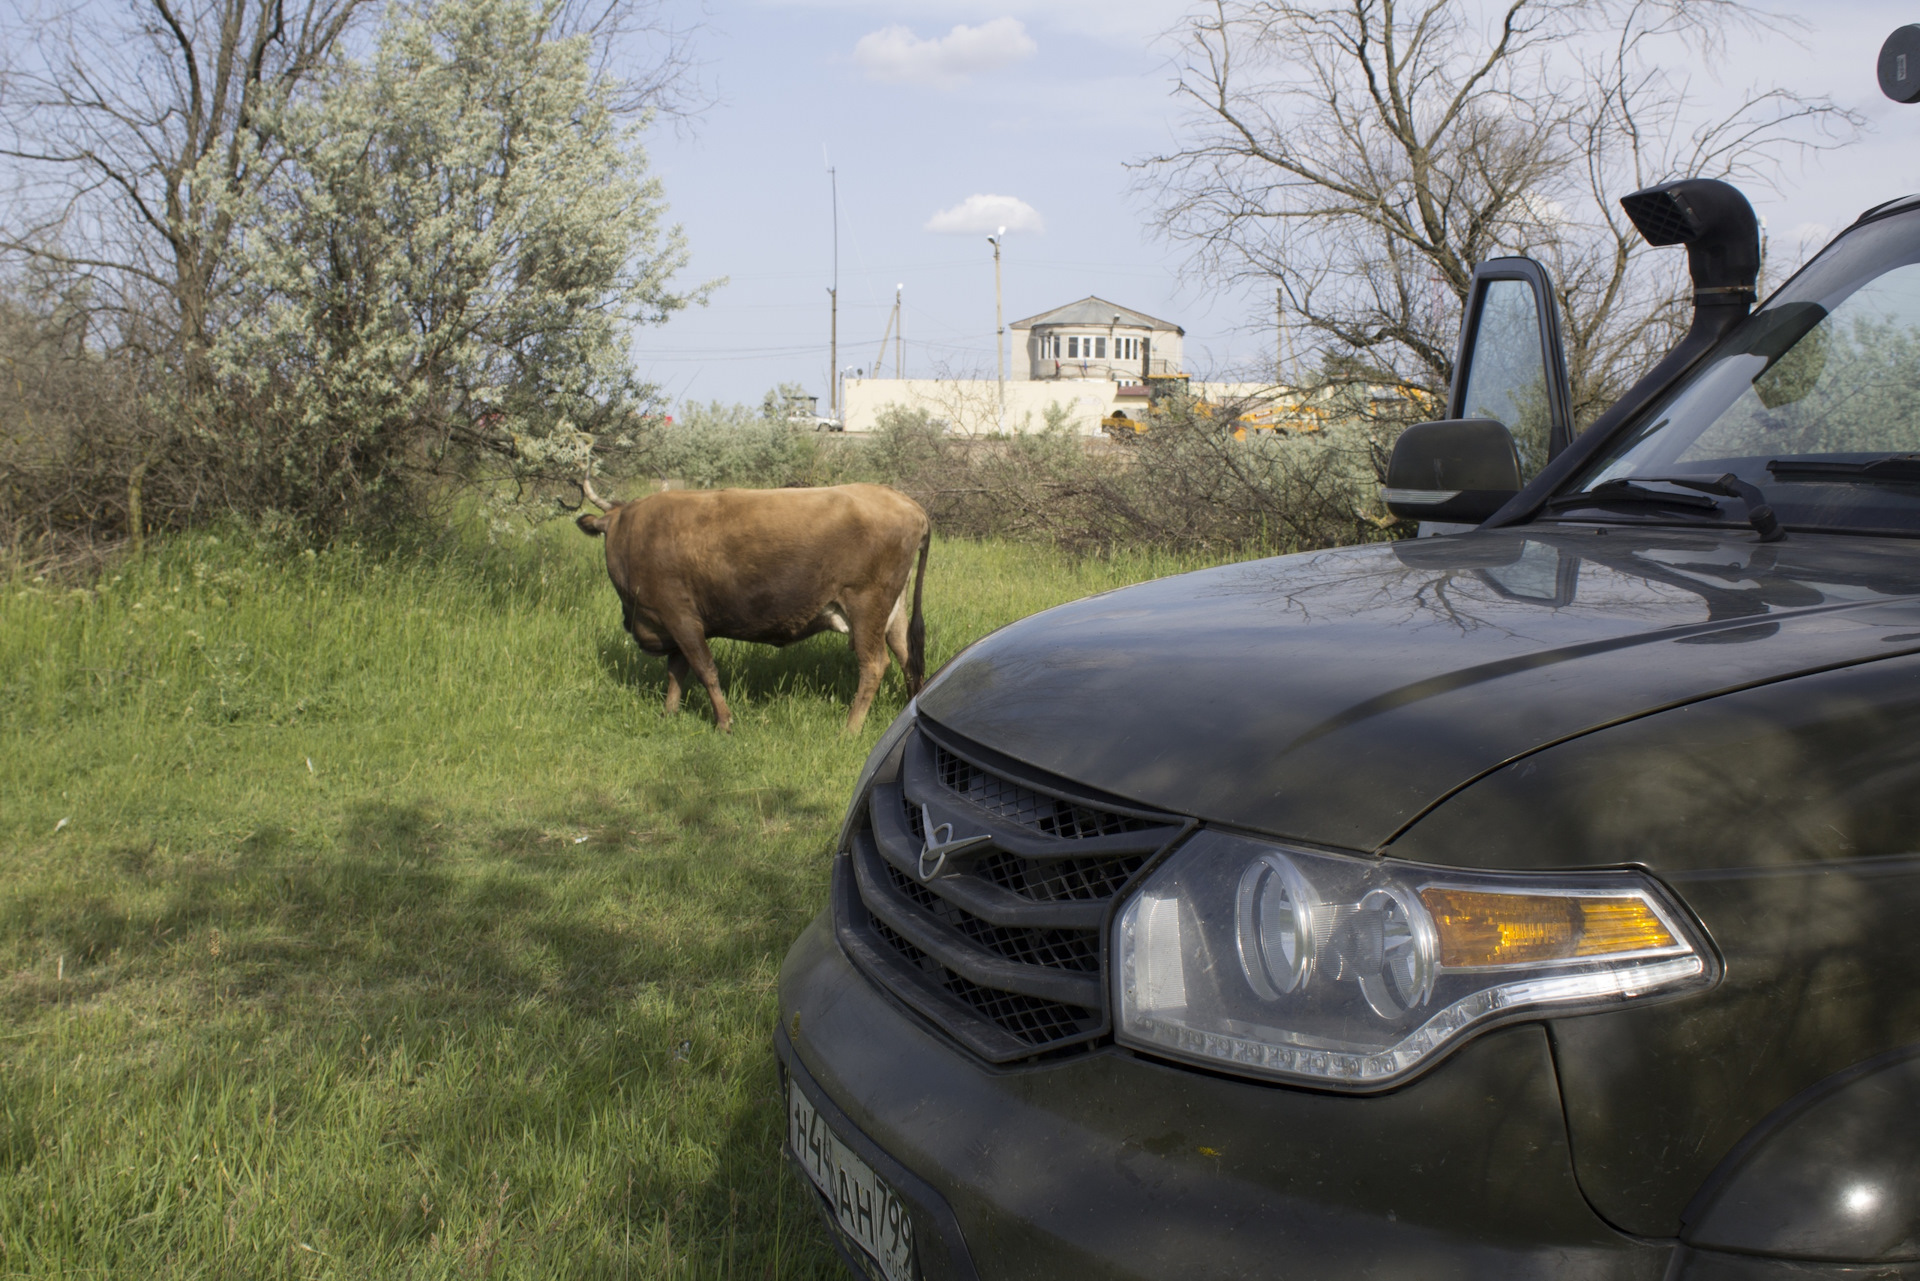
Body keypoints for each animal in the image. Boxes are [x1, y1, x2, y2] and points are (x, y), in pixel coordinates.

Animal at [572, 478, 925, 729]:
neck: (635, 530)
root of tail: (905, 502)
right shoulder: (674, 624)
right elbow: (676, 672)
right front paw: (668, 715)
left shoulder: (680, 618)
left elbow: (704, 669)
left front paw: (724, 722)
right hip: (892, 612)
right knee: (908, 657)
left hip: (866, 606)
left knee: (874, 665)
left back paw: (850, 729)